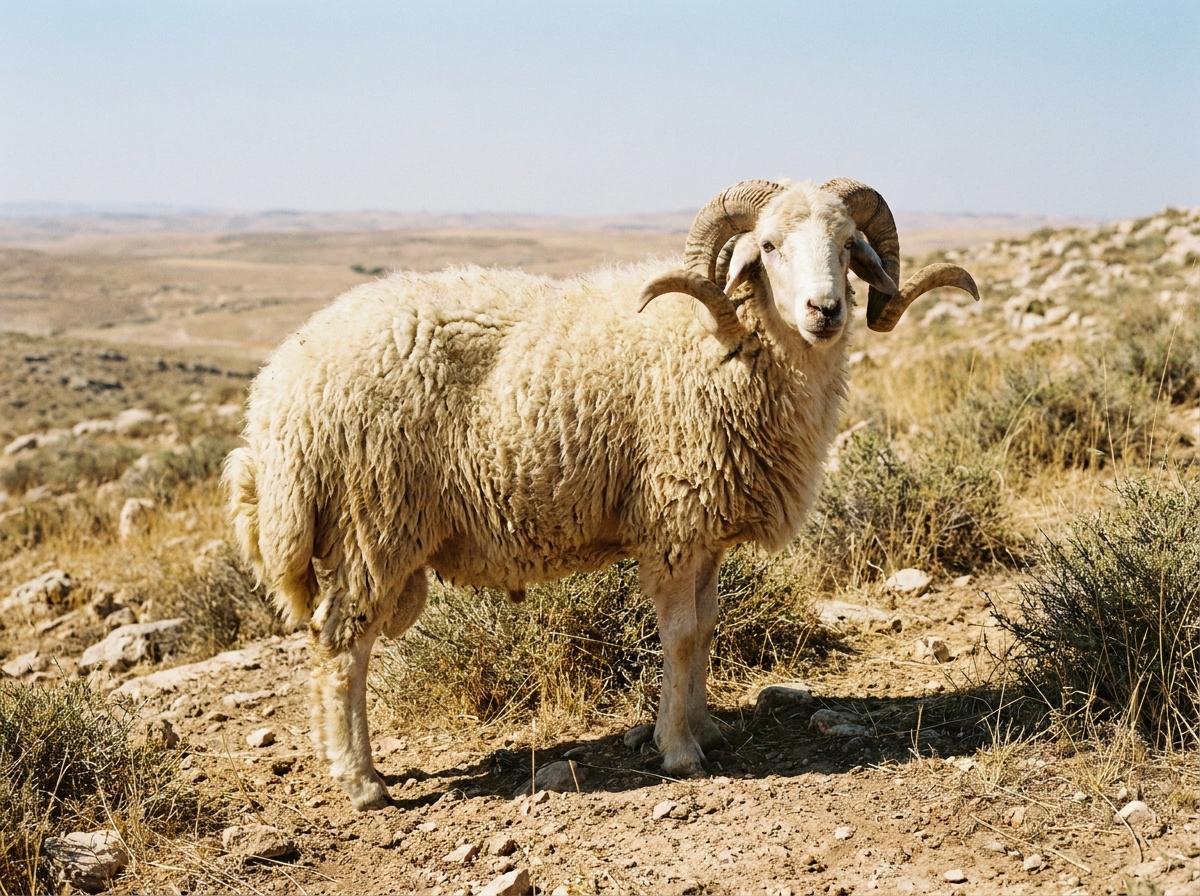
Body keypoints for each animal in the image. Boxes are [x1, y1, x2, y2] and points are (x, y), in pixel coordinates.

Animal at [224, 177, 980, 810]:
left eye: (850, 247)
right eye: (768, 246)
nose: (825, 311)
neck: (723, 339)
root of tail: (276, 392)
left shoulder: (704, 529)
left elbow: (707, 627)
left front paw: (706, 727)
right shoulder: (672, 519)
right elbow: (680, 635)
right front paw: (679, 750)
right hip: (371, 525)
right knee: (341, 648)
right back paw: (360, 782)